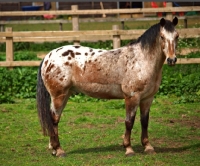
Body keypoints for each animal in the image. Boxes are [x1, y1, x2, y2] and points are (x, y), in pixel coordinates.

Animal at [36, 16, 179, 157]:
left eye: (177, 36)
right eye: (162, 36)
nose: (172, 60)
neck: (141, 60)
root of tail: (48, 57)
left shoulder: (147, 98)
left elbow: (144, 122)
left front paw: (148, 147)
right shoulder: (132, 97)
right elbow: (129, 122)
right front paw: (128, 149)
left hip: (65, 95)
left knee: (54, 120)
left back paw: (54, 149)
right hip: (58, 96)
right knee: (54, 119)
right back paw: (59, 150)